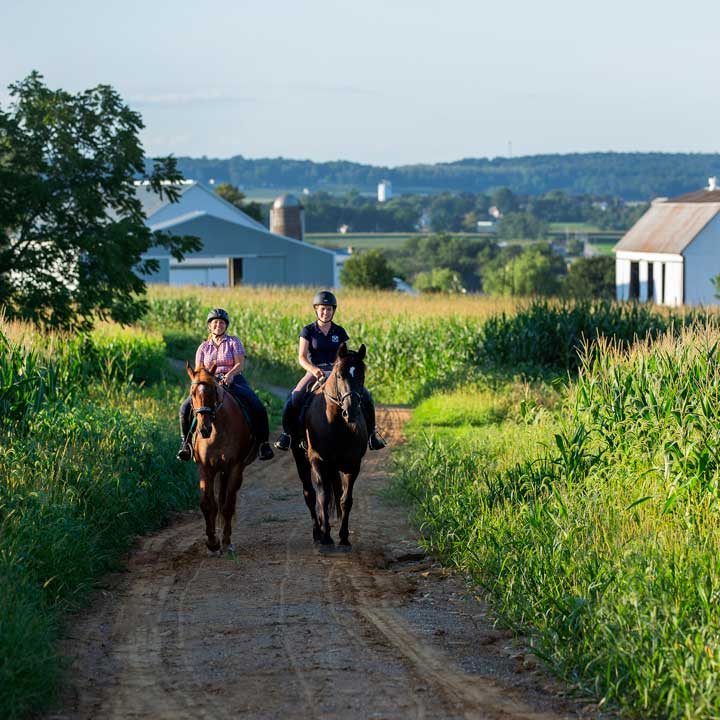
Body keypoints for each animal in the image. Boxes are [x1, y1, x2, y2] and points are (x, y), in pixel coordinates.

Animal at [184, 362, 258, 556]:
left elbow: (228, 506)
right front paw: (212, 542)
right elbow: (207, 504)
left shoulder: (234, 467)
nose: (204, 429)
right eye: (192, 393)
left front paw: (225, 542)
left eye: (213, 392)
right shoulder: (205, 468)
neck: (217, 430)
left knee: (227, 501)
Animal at [290, 342, 368, 544]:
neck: (337, 424)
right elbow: (322, 497)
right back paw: (317, 532)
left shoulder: (353, 464)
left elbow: (345, 500)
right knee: (310, 494)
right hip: (301, 460)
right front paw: (326, 537)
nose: (350, 411)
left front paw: (344, 537)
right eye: (339, 375)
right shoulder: (318, 460)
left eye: (362, 375)